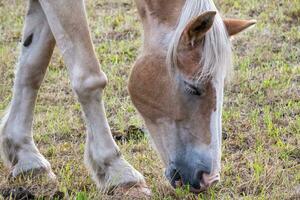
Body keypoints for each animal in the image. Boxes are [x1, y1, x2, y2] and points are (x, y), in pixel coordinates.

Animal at [0, 0, 254, 196]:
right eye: (193, 87)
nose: (209, 179)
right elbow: (89, 79)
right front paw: (117, 171)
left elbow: (33, 65)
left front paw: (25, 157)